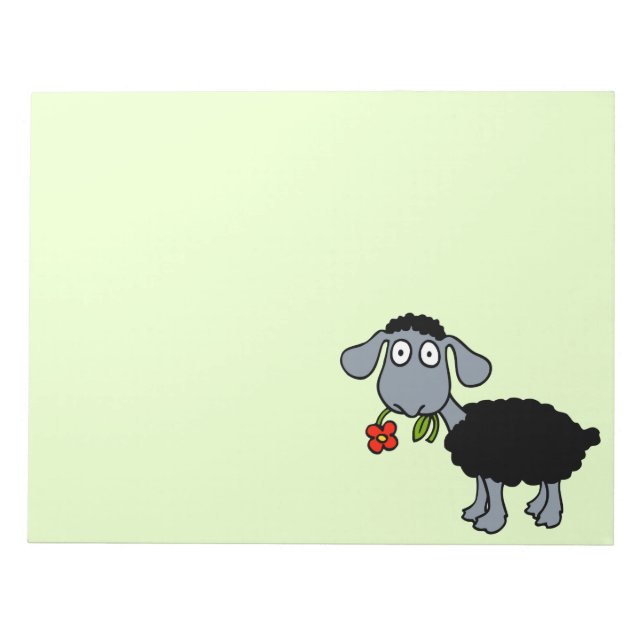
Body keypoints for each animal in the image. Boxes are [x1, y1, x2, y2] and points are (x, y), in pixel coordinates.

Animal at [340, 313, 601, 534]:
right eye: (398, 352)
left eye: (430, 354)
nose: (410, 402)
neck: (462, 420)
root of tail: (578, 430)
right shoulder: (477, 465)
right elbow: (481, 489)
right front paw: (473, 512)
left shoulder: (494, 466)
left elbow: (493, 493)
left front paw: (490, 523)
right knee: (546, 484)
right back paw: (535, 507)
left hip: (554, 460)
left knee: (554, 485)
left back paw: (549, 518)